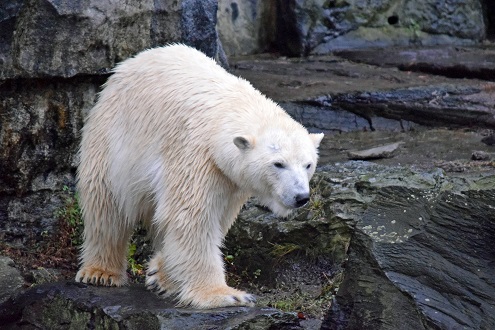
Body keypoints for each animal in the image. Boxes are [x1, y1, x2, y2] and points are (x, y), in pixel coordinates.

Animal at [74, 42, 326, 308]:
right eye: (278, 164)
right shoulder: (196, 154)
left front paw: (161, 275)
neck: (227, 111)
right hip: (112, 137)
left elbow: (216, 218)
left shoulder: (230, 179)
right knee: (106, 203)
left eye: (308, 165)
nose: (300, 197)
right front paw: (226, 294)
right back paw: (101, 272)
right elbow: (192, 217)